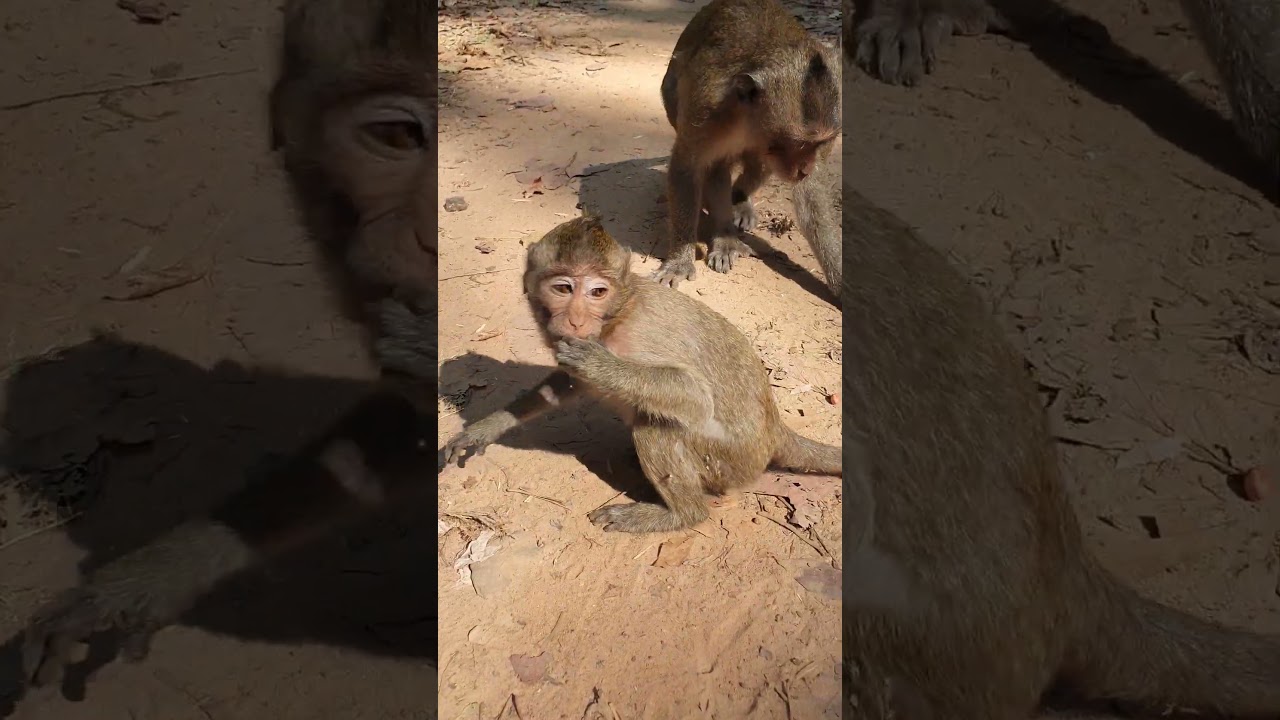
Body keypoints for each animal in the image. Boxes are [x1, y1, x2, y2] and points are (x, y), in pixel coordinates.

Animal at [441, 215, 842, 534]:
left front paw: (603, 367)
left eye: (597, 292)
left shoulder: (639, 334)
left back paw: (680, 515)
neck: (617, 314)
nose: (576, 320)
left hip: (729, 462)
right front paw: (488, 426)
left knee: (656, 425)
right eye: (563, 288)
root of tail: (775, 432)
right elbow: (567, 383)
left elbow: (696, 397)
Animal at [653, 0, 842, 289]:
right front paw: (679, 260)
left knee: (757, 165)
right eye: (798, 144)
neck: (749, 119)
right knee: (716, 167)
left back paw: (738, 205)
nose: (805, 167)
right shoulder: (705, 109)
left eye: (821, 143)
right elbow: (688, 168)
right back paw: (725, 234)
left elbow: (811, 195)